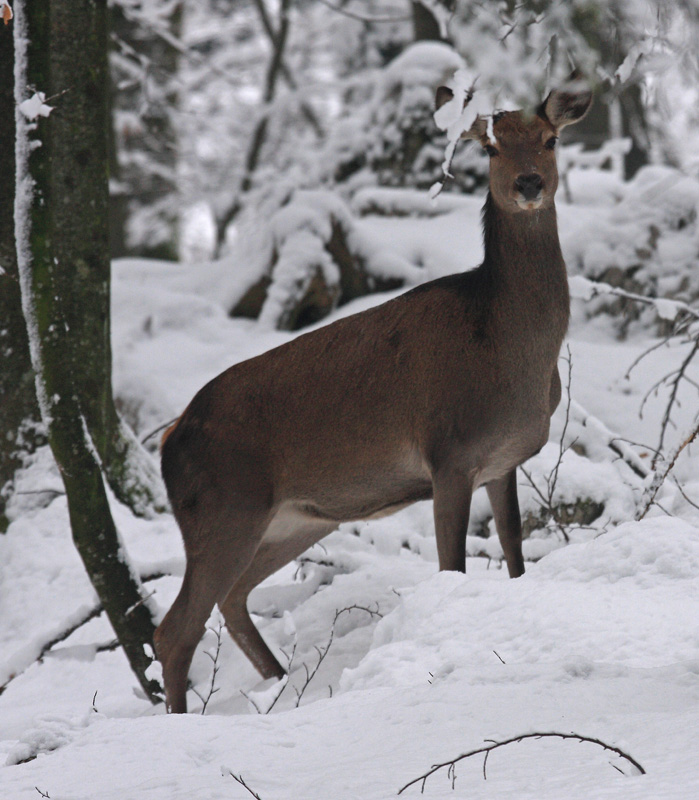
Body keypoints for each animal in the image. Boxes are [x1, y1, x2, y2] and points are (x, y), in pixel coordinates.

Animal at [153, 78, 592, 708]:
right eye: (491, 148)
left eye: (551, 140)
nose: (529, 183)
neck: (509, 350)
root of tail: (169, 438)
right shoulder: (449, 453)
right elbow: (452, 565)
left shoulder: (503, 460)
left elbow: (514, 553)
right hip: (222, 509)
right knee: (175, 630)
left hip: (295, 518)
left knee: (231, 598)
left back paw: (282, 683)